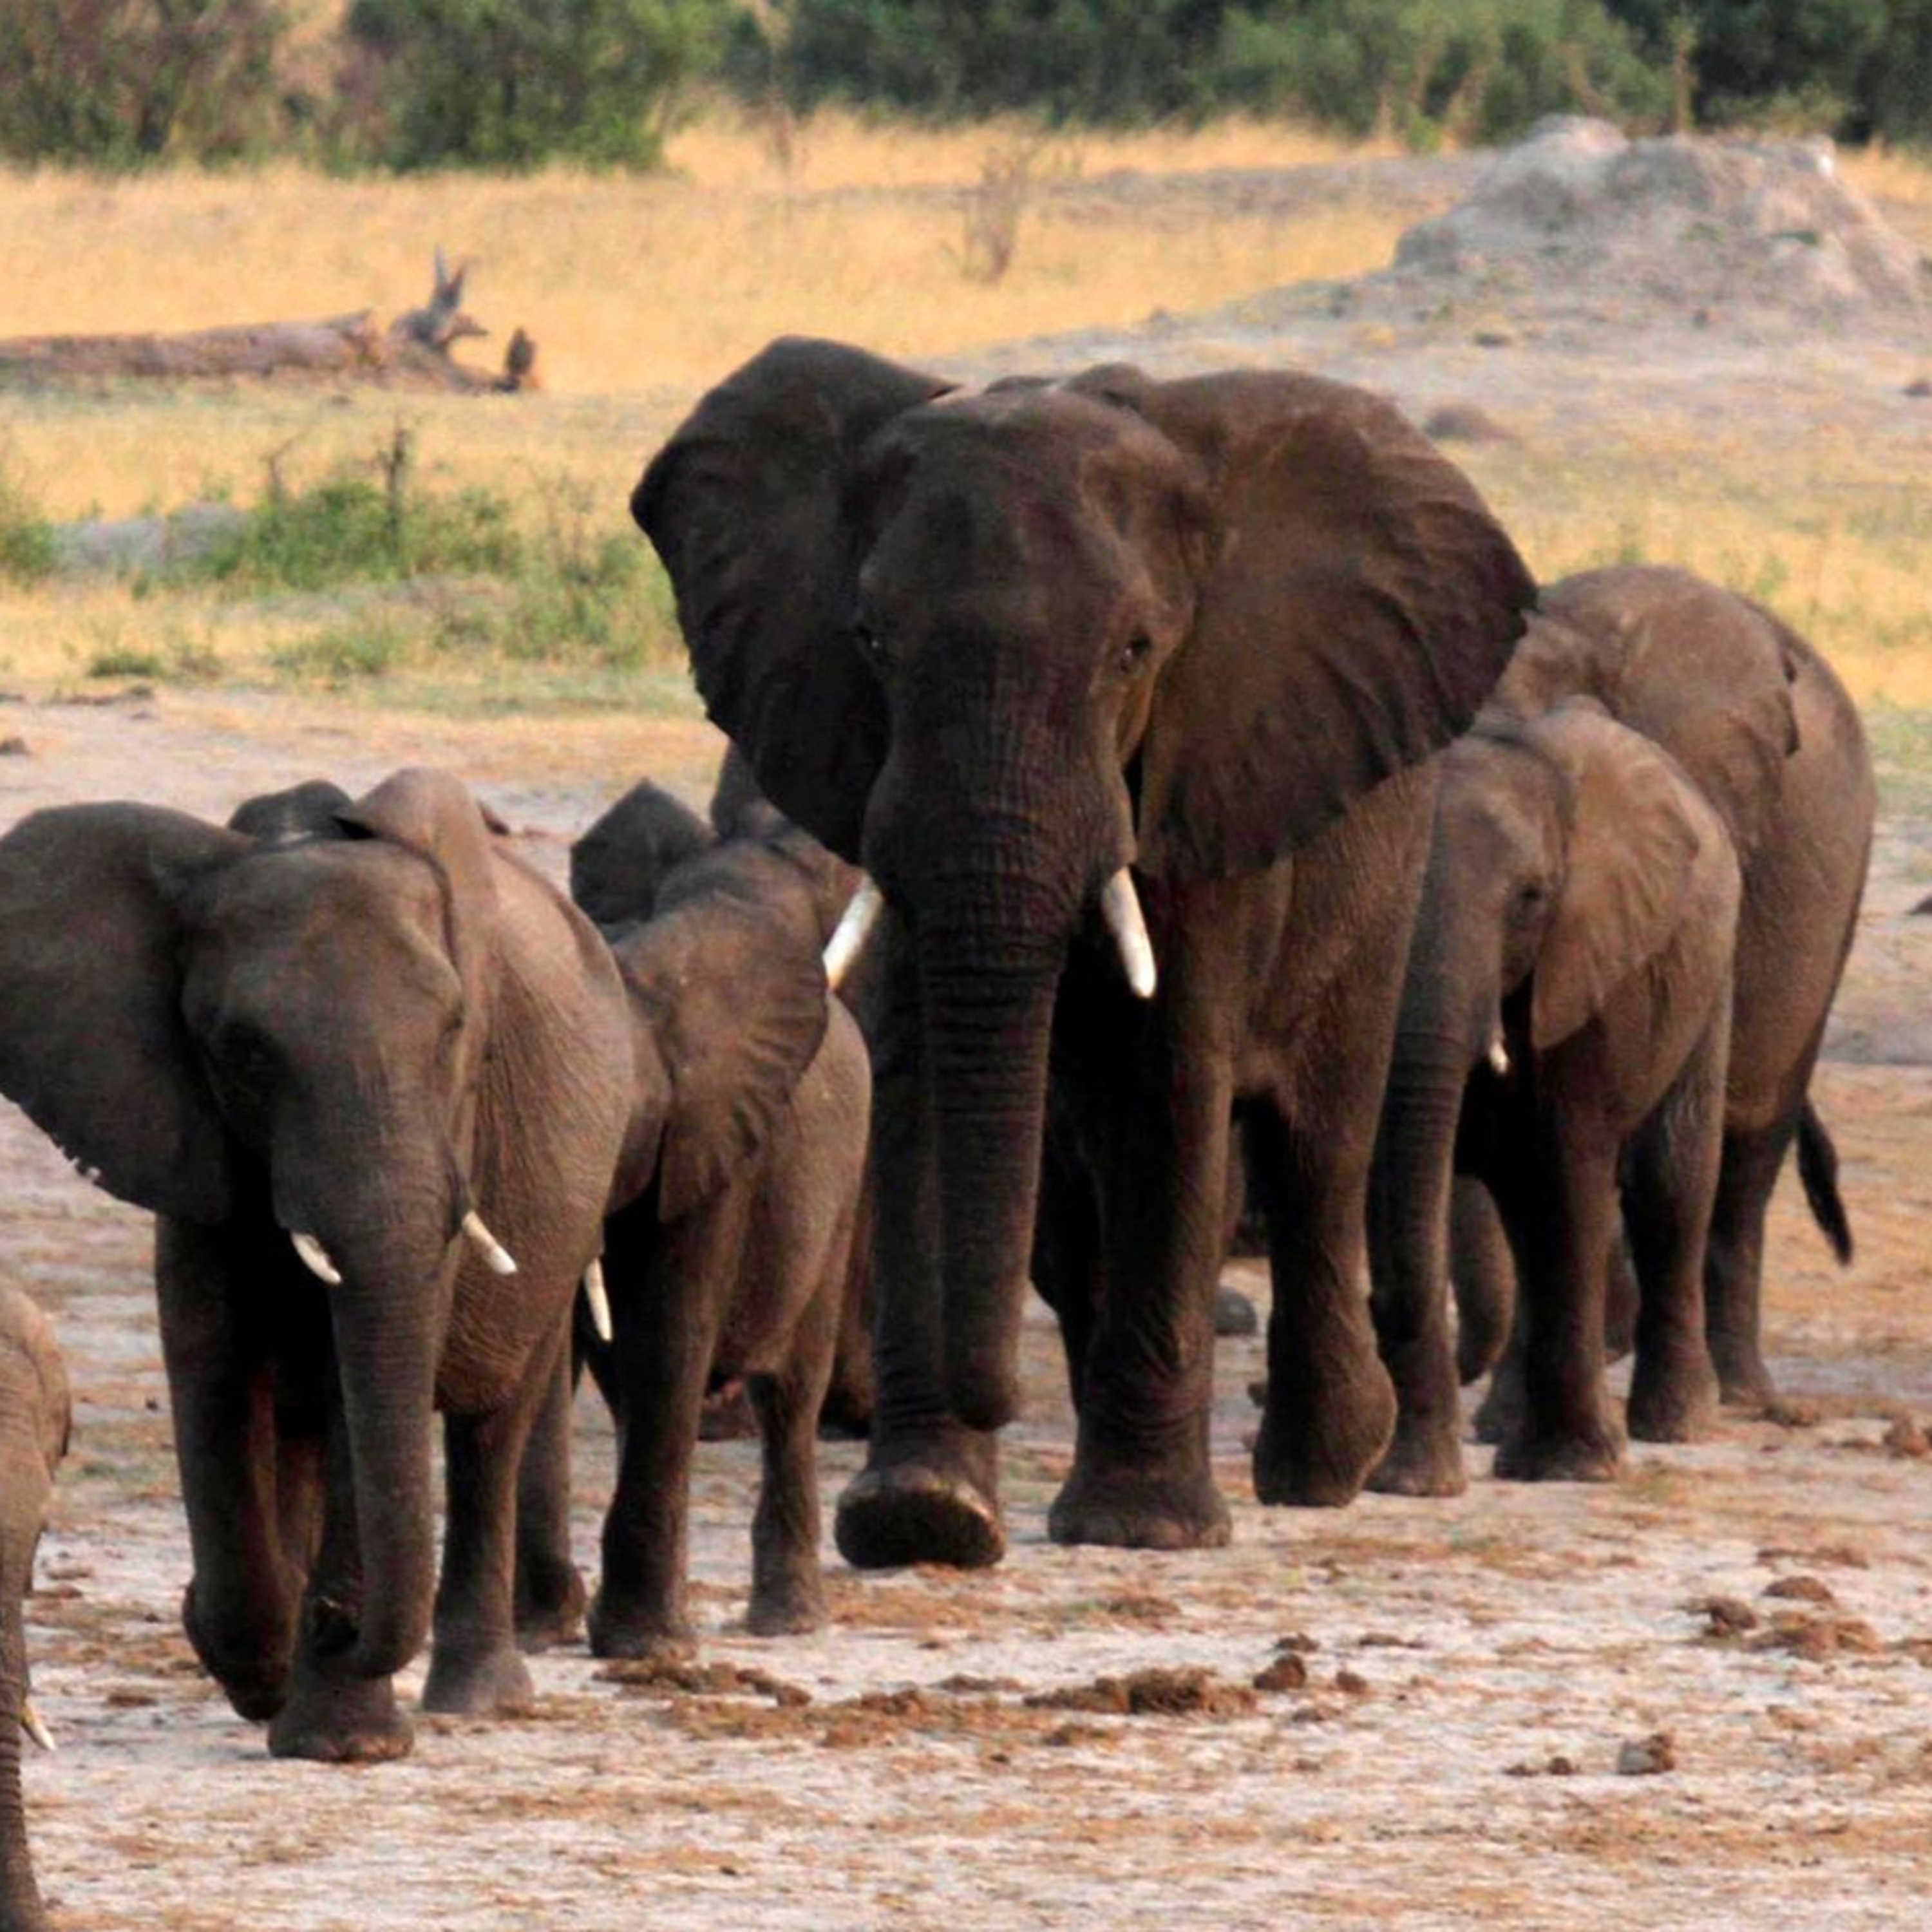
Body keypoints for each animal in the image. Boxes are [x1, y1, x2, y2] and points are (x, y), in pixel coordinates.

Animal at [0, 770, 634, 1762]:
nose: (340, 1622)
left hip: (573, 1204)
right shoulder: (185, 1123)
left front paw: (342, 1739)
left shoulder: (454, 1127)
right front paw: (257, 1665)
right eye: (243, 1050)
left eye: (456, 1028)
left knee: (494, 1423)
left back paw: (475, 1698)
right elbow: (208, 1356)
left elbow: (359, 1369)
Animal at [521, 792, 870, 1653]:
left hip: (842, 1190)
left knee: (790, 1396)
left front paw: (638, 1645)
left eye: (620, 1113)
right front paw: (540, 1633)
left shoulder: (713, 1147)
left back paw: (786, 1623)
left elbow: (668, 1337)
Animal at [633, 336, 1537, 1564]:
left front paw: (1142, 1527)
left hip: (1380, 866)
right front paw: (925, 1514)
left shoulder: (1210, 765)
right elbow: (927, 1073)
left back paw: (1323, 1471)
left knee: (1318, 1148)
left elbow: (1171, 1077)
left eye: (1135, 652)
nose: (996, 1403)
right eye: (871, 641)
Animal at [1369, 702, 1741, 1489]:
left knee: (1667, 1185)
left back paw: (1675, 1425)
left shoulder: (1590, 961)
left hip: (1710, 959)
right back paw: (1503, 1426)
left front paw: (1573, 1468)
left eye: (1531, 899)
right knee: (1523, 1211)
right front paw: (1411, 1480)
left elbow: (1570, 1173)